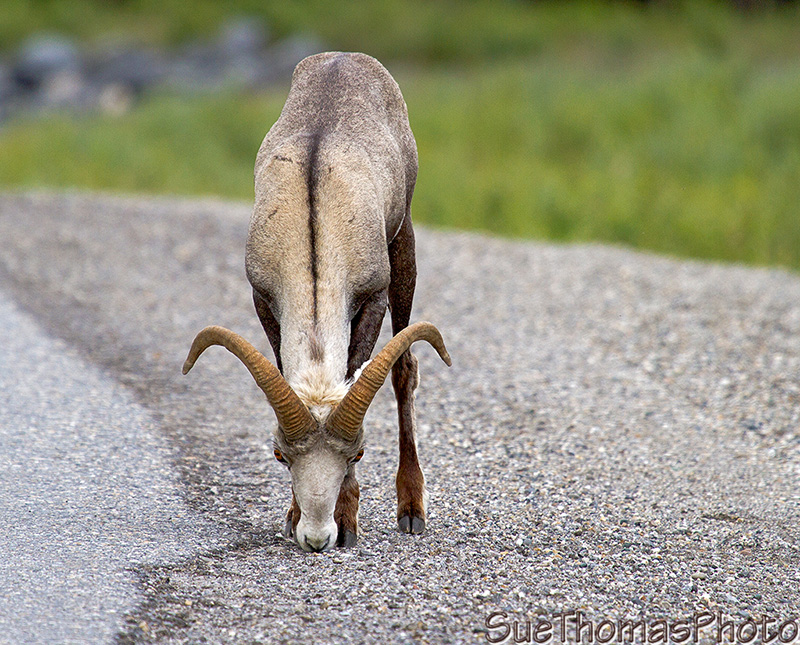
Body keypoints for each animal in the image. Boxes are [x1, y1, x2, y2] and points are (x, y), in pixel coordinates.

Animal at [182, 52, 451, 552]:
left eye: (358, 453)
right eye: (279, 454)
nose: (317, 537)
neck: (314, 237)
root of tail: (345, 58)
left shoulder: (373, 297)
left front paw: (347, 522)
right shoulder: (263, 301)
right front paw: (291, 517)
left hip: (404, 243)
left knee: (405, 369)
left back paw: (411, 512)